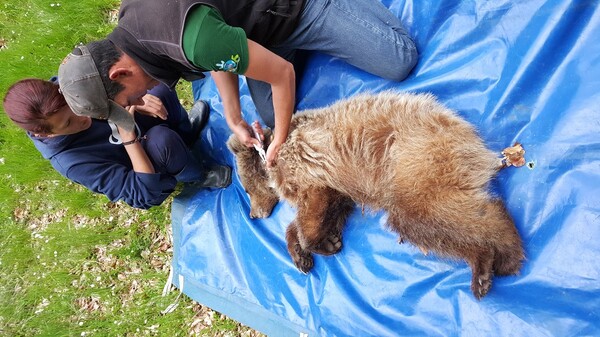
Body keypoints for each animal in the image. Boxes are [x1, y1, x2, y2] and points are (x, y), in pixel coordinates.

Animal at [227, 90, 524, 298]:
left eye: (245, 188)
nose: (252, 214)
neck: (270, 158)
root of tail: (464, 131)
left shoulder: (307, 165)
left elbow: (313, 206)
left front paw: (319, 243)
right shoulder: (337, 186)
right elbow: (326, 208)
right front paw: (307, 252)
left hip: (416, 159)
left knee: (430, 216)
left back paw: (503, 257)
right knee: (437, 224)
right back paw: (484, 265)